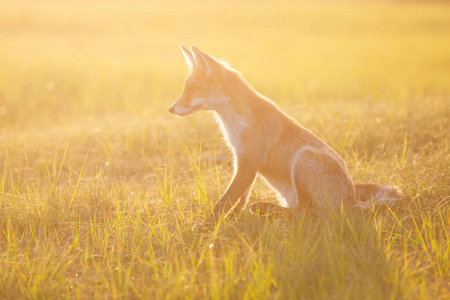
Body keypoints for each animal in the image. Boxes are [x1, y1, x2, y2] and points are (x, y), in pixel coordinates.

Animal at [169, 44, 404, 223]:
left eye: (193, 90)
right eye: (184, 89)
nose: (170, 109)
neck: (237, 122)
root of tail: (352, 201)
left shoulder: (248, 162)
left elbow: (225, 202)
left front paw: (206, 227)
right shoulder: (242, 160)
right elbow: (240, 199)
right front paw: (234, 219)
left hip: (303, 158)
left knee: (305, 214)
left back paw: (270, 211)